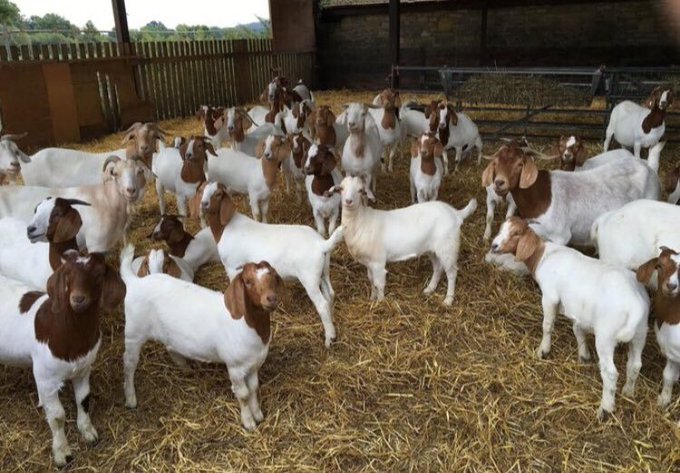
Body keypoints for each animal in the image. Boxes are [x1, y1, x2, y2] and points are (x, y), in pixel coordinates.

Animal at [0, 251, 125, 466]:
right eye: (67, 275)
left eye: (99, 274)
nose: (78, 298)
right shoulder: (45, 378)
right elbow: (57, 417)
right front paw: (62, 453)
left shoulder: (83, 369)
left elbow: (83, 399)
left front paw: (88, 432)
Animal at [201, 182, 344, 347]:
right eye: (202, 190)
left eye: (217, 194)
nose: (203, 204)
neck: (225, 228)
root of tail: (321, 245)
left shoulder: (232, 267)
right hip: (323, 272)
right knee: (330, 294)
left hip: (309, 278)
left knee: (322, 305)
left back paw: (329, 338)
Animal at [327, 176, 477, 305]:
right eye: (341, 189)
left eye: (360, 190)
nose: (348, 201)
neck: (361, 221)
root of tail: (456, 213)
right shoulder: (368, 262)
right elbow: (371, 281)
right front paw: (372, 299)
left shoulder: (378, 262)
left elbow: (379, 284)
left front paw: (380, 303)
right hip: (432, 249)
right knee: (438, 267)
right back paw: (429, 289)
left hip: (448, 247)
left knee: (452, 273)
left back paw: (448, 300)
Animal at [490, 217, 649, 420]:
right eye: (502, 227)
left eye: (516, 233)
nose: (494, 246)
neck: (543, 256)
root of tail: (635, 306)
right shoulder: (577, 311)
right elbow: (577, 330)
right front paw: (583, 355)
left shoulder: (550, 296)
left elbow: (547, 325)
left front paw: (543, 351)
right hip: (641, 333)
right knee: (635, 365)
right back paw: (629, 391)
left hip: (606, 336)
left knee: (611, 373)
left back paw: (605, 409)